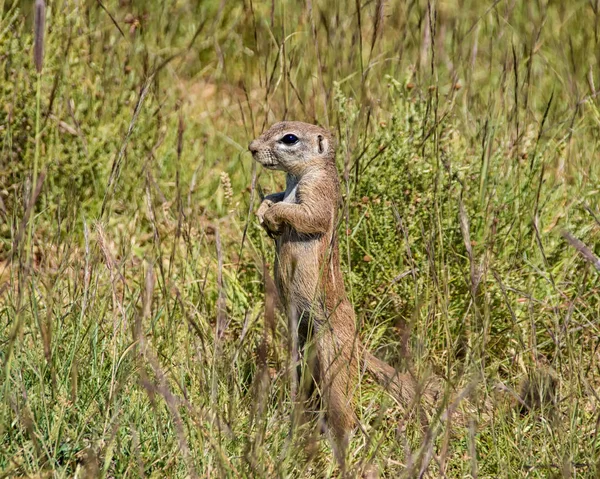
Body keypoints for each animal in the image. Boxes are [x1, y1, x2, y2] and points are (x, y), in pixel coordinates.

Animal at [246, 122, 438, 464]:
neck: (297, 177)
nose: (252, 148)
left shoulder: (318, 193)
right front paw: (262, 209)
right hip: (301, 348)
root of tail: (357, 343)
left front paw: (272, 215)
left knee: (341, 406)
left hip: (333, 355)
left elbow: (306, 214)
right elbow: (273, 196)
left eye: (289, 138)